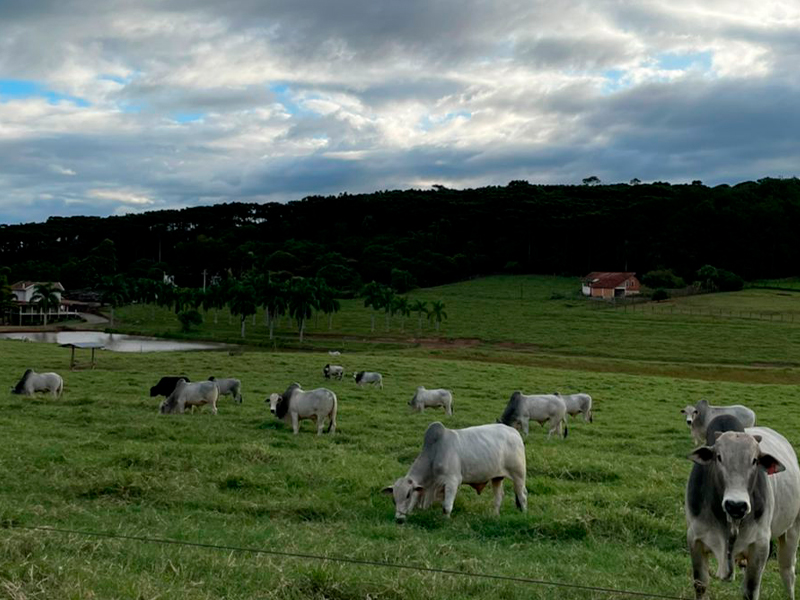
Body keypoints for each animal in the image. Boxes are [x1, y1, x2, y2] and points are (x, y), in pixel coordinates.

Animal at [382, 420, 528, 524]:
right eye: (394, 499)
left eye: (407, 495)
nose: (399, 519)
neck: (434, 453)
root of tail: (514, 432)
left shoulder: (452, 481)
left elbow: (446, 506)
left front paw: (445, 522)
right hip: (497, 477)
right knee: (498, 497)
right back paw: (495, 516)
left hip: (519, 475)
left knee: (522, 496)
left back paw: (524, 514)